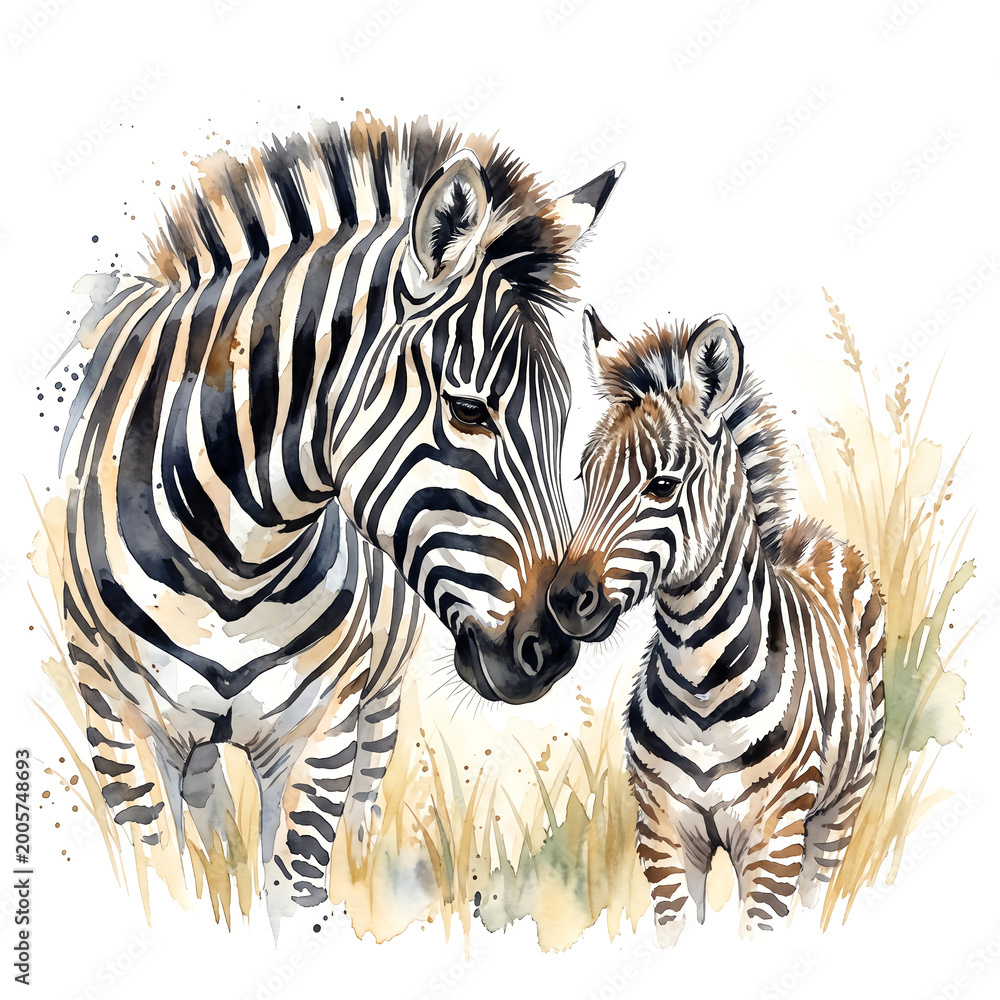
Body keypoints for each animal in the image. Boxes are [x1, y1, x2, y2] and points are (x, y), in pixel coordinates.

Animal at [50, 114, 622, 928]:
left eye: (565, 422)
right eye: (469, 411)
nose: (553, 649)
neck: (234, 566)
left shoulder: (322, 734)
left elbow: (295, 893)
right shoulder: (118, 726)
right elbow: (162, 881)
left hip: (376, 710)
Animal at [547, 307, 885, 943]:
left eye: (661, 485)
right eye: (585, 478)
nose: (563, 599)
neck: (700, 677)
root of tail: (812, 538)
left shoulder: (774, 840)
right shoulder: (663, 836)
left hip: (839, 810)